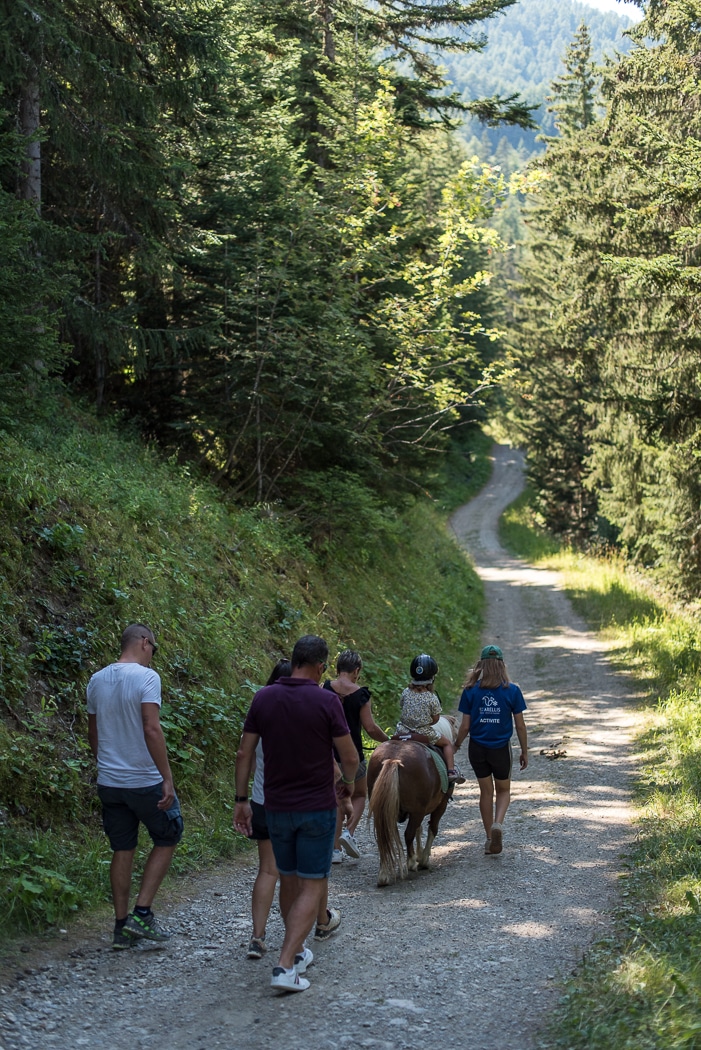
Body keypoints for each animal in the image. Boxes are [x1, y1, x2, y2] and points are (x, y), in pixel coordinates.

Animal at [367, 739, 455, 886]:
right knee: (408, 834)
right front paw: (423, 859)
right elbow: (432, 828)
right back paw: (411, 863)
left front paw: (419, 854)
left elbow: (419, 830)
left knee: (383, 837)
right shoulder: (439, 806)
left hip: (384, 811)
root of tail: (394, 759)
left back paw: (383, 874)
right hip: (418, 810)